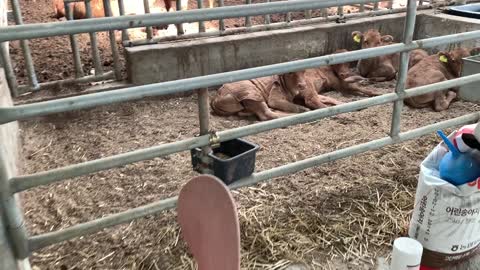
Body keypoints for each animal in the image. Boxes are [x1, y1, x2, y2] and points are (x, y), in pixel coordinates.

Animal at [211, 70, 342, 121]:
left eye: (304, 71)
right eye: (290, 73)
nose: (302, 84)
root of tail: (216, 98)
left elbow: (326, 98)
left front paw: (341, 104)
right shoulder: (274, 98)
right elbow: (293, 105)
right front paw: (303, 109)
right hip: (251, 93)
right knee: (266, 114)